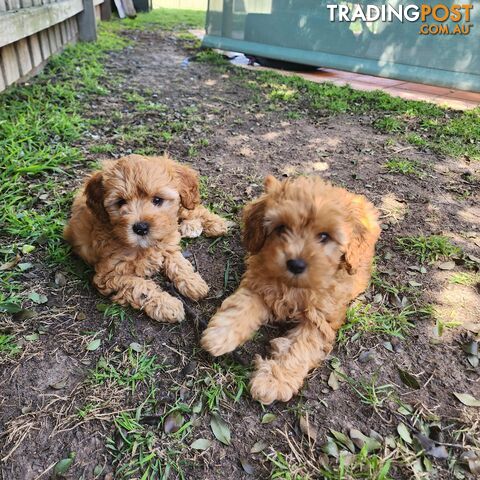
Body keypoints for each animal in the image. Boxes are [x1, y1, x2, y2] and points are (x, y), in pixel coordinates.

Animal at [64, 154, 230, 322]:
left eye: (157, 200)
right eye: (120, 202)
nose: (140, 228)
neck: (145, 246)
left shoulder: (167, 243)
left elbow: (179, 263)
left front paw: (192, 282)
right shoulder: (108, 275)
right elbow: (140, 287)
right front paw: (168, 304)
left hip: (183, 204)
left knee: (192, 209)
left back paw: (215, 223)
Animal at [201, 174, 380, 404]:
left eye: (324, 236)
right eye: (281, 228)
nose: (296, 264)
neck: (294, 286)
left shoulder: (320, 320)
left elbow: (299, 348)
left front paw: (274, 380)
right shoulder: (258, 285)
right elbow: (241, 306)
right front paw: (221, 334)